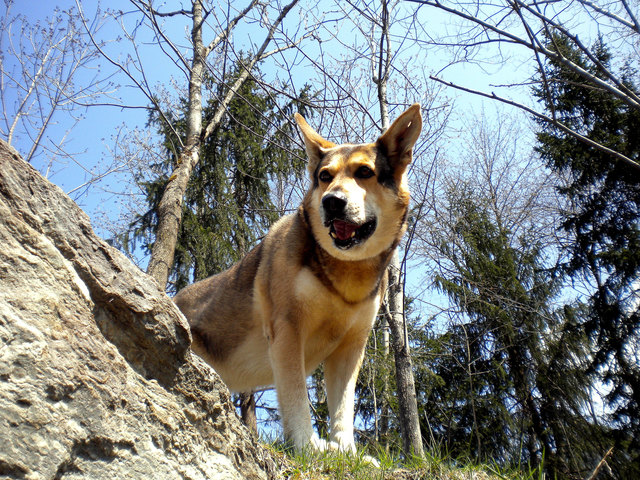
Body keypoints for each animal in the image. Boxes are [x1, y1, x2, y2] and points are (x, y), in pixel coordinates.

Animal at [173, 104, 422, 456]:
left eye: (364, 172)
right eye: (325, 176)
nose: (332, 202)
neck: (344, 274)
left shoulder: (351, 347)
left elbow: (343, 408)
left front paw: (346, 451)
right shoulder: (287, 332)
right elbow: (296, 398)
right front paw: (307, 445)